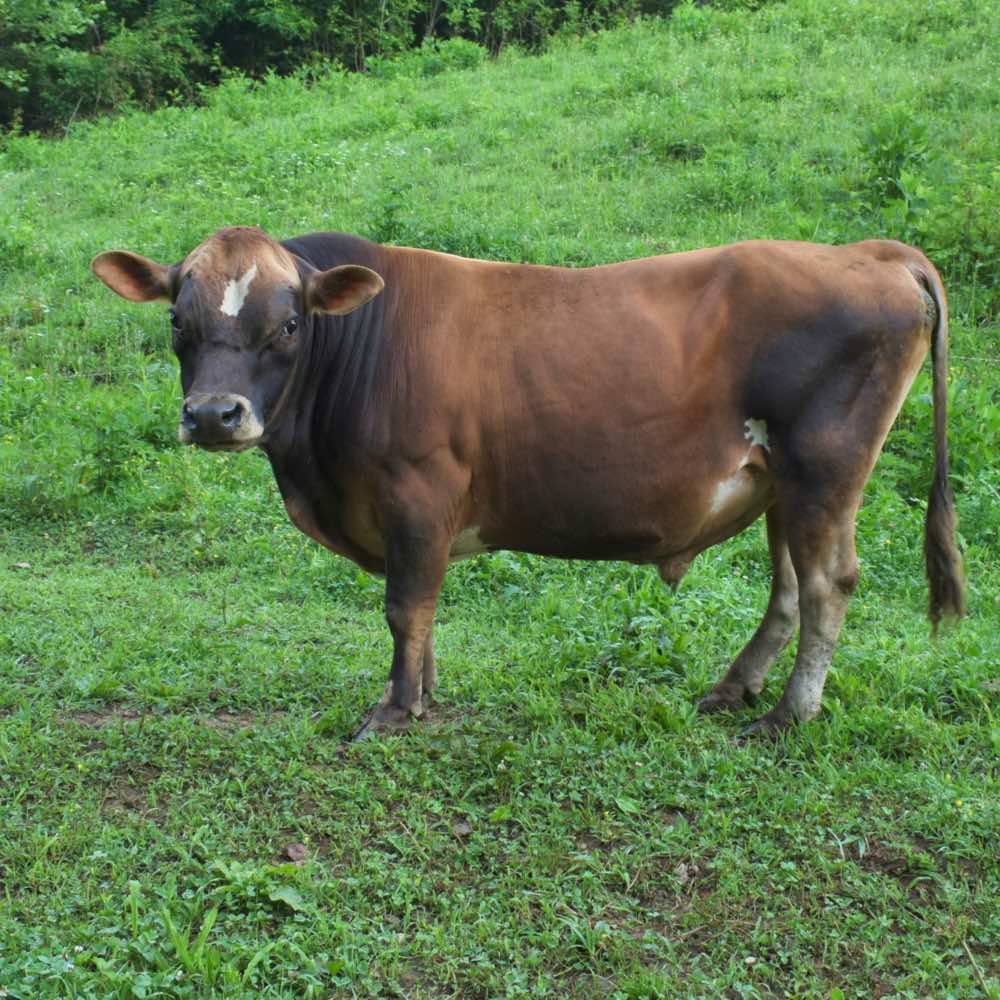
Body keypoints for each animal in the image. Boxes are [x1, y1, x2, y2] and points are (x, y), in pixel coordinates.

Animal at [92, 227, 964, 738]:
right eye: (177, 320)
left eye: (290, 324)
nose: (213, 415)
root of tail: (868, 251)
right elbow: (426, 609)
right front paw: (425, 693)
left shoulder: (417, 493)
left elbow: (405, 607)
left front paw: (396, 708)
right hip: (780, 480)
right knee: (787, 588)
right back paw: (733, 690)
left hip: (824, 467)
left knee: (826, 584)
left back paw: (788, 714)